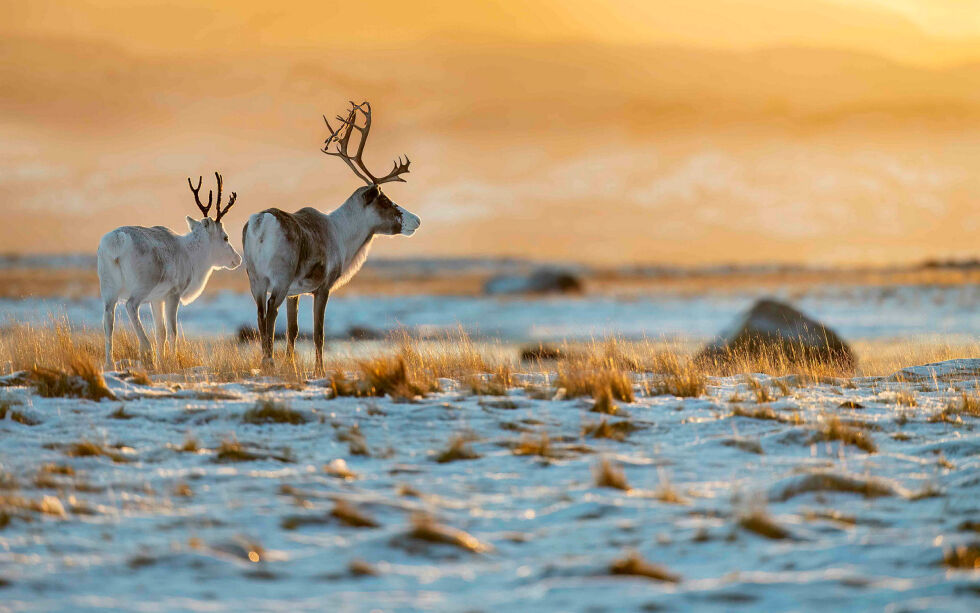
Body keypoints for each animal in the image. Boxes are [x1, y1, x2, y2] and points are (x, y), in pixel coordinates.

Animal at [97, 175, 241, 370]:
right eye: (225, 237)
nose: (237, 259)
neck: (191, 255)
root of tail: (116, 241)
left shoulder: (156, 299)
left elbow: (161, 332)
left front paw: (162, 361)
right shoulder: (173, 294)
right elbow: (172, 331)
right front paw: (171, 361)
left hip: (108, 289)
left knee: (108, 320)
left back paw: (109, 364)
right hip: (142, 286)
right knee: (130, 306)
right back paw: (146, 349)